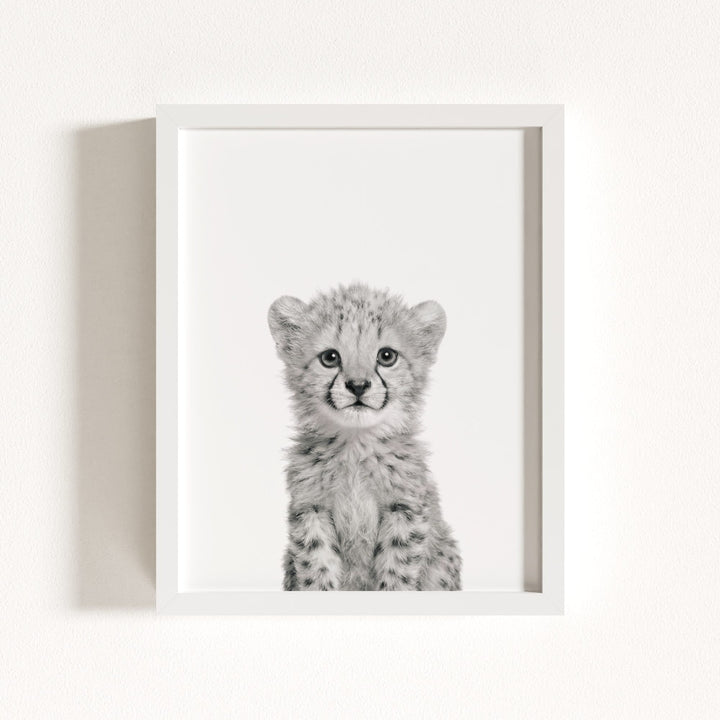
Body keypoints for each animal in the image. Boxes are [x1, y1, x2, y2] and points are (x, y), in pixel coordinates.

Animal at [268, 283, 461, 591]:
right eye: (330, 358)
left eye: (387, 356)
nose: (358, 385)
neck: (355, 446)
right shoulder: (311, 509)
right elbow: (316, 566)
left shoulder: (404, 509)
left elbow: (397, 569)